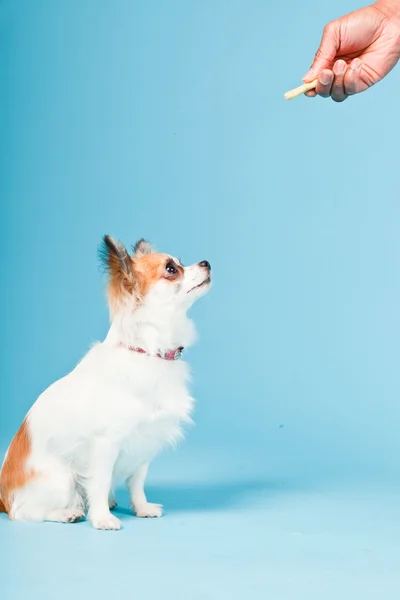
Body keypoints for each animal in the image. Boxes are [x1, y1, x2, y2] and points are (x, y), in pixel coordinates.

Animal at [0, 238, 211, 528]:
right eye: (171, 269)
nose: (206, 262)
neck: (148, 352)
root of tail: (2, 495)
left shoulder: (144, 442)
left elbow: (137, 482)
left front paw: (141, 507)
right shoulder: (105, 444)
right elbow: (99, 482)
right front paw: (101, 519)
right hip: (62, 480)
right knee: (23, 512)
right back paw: (67, 513)